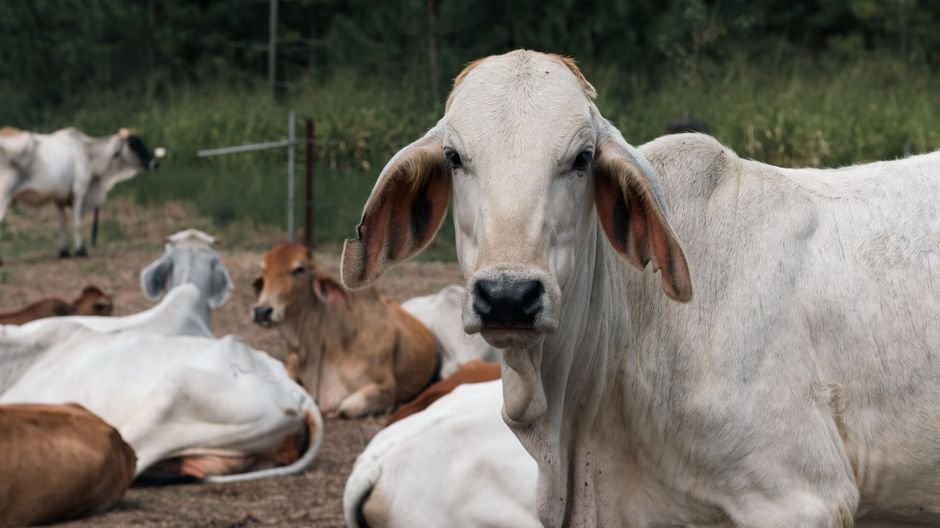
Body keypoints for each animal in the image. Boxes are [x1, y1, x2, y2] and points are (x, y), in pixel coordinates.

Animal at [0, 126, 165, 264]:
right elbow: (77, 222)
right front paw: (80, 251)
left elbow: (63, 224)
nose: (155, 164)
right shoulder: (79, 192)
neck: (88, 153)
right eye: (133, 145)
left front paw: (64, 251)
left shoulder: (60, 199)